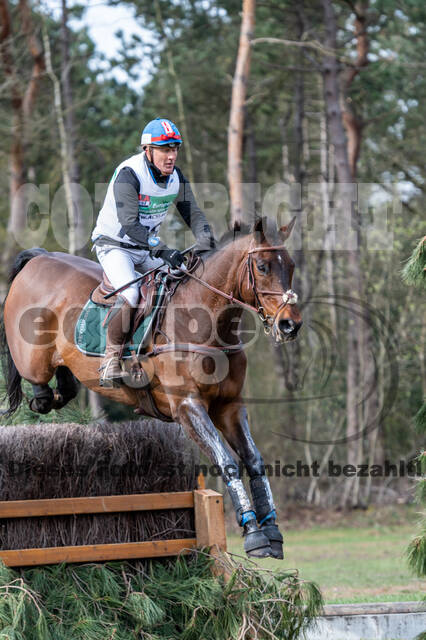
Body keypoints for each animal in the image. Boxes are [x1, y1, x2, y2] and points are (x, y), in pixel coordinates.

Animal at [0, 215, 302, 556]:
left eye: (290, 266)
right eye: (263, 266)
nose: (290, 325)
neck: (202, 320)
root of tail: (38, 258)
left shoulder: (230, 406)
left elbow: (253, 460)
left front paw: (272, 531)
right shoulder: (188, 407)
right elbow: (227, 462)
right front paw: (253, 534)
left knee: (63, 387)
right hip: (33, 358)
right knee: (37, 385)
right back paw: (44, 395)